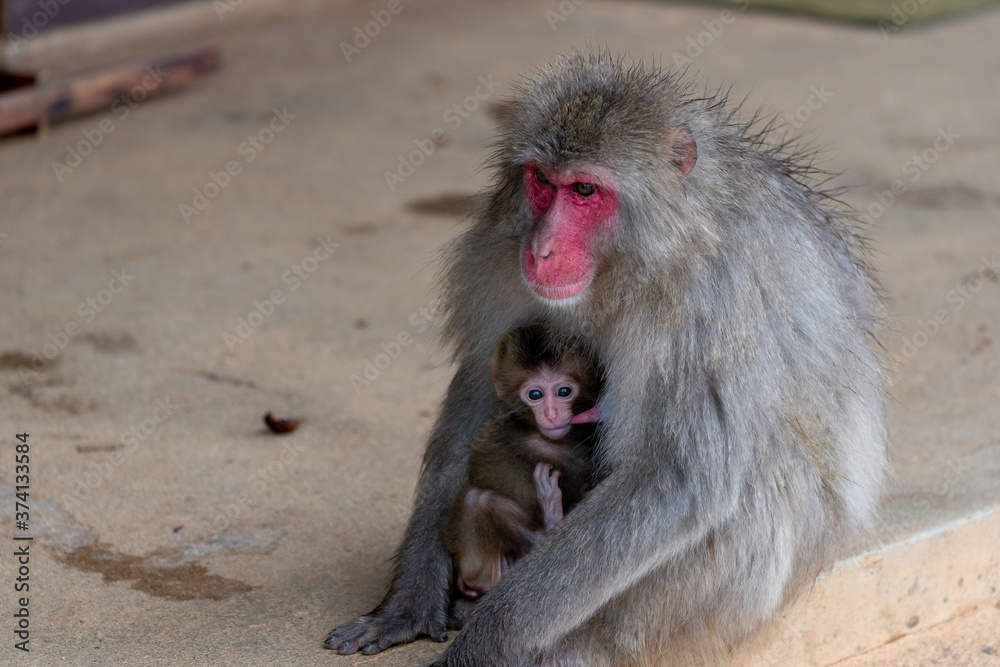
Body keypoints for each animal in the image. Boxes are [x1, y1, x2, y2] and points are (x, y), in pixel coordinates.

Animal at [444, 322, 603, 605]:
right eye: (535, 395)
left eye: (564, 392)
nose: (551, 414)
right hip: (476, 561)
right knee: (476, 501)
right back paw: (549, 522)